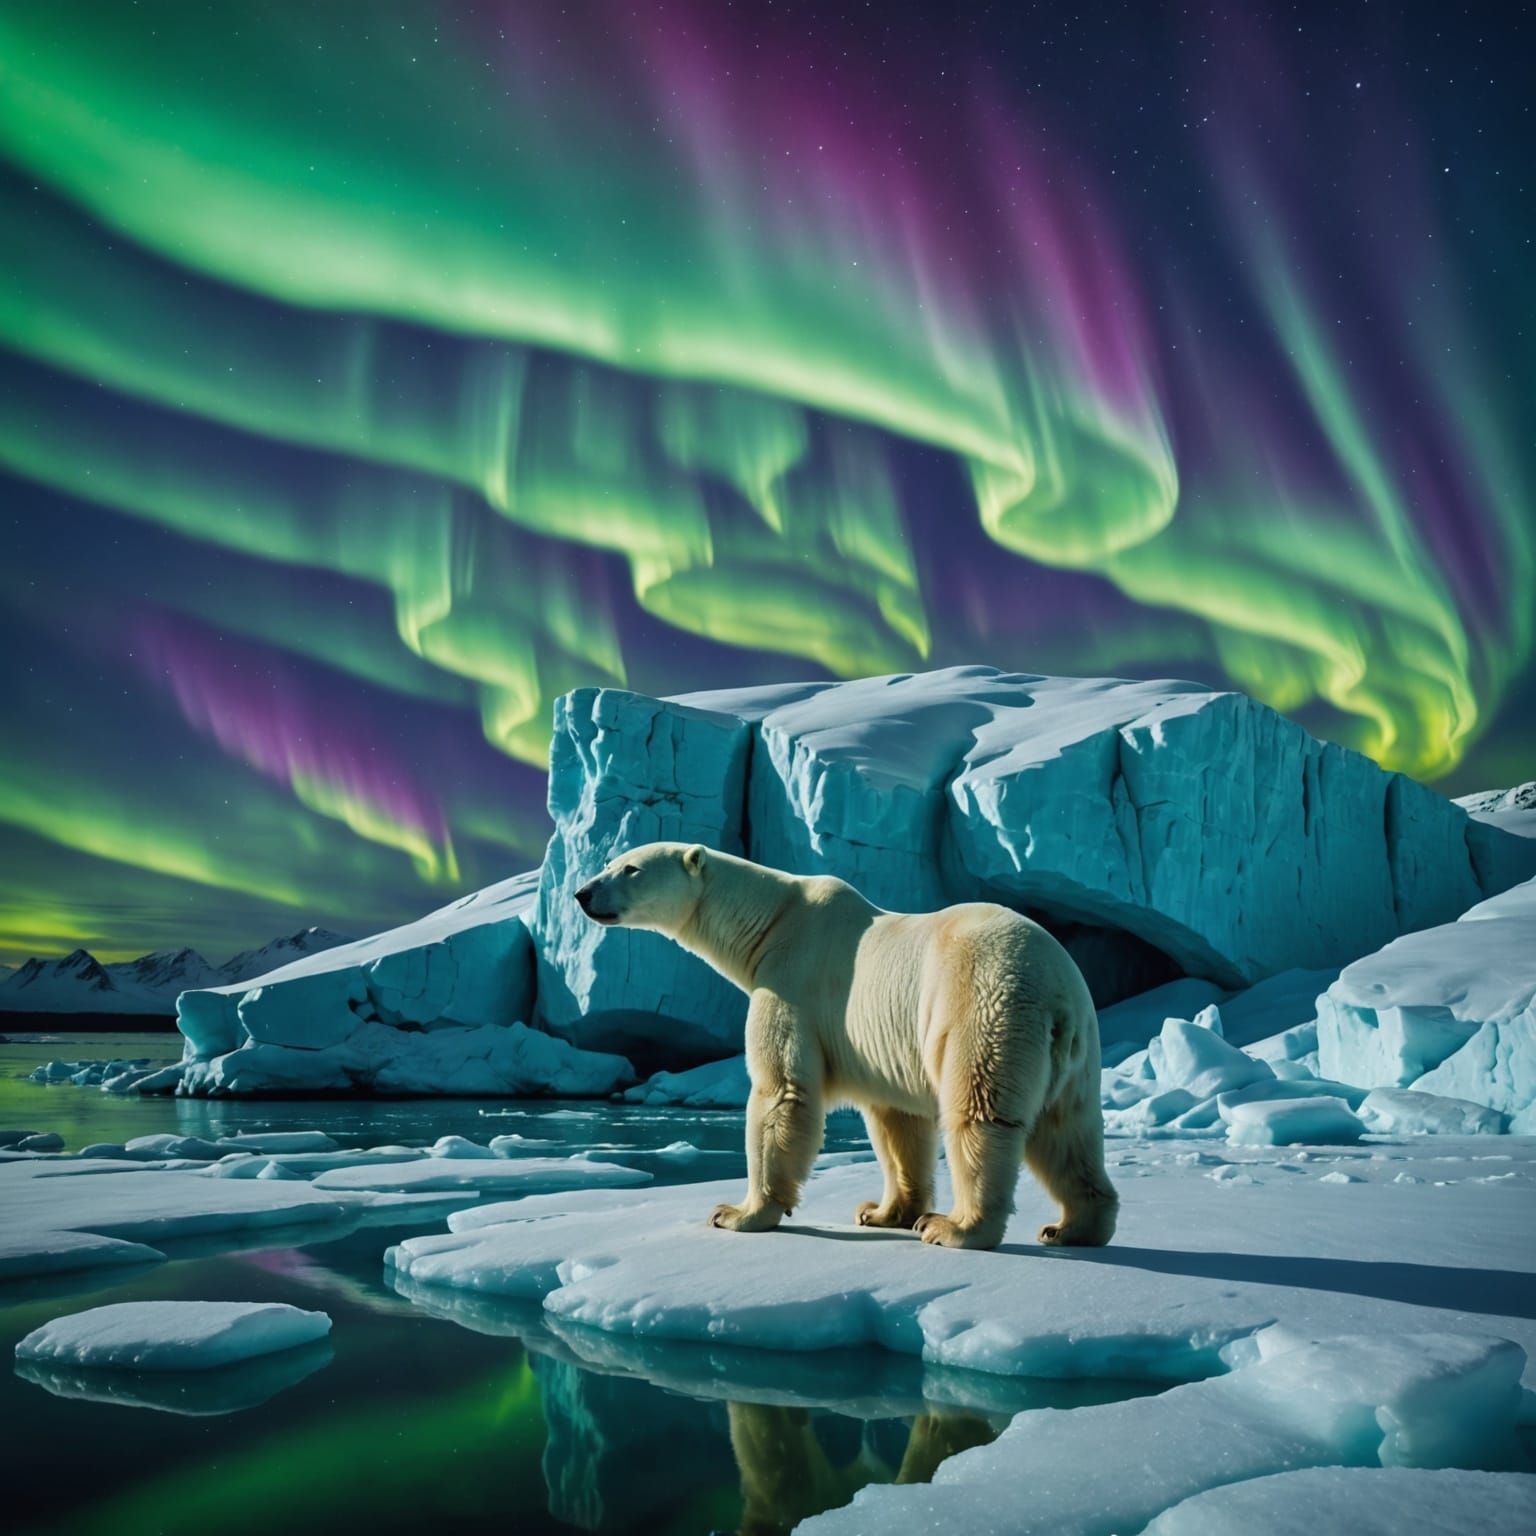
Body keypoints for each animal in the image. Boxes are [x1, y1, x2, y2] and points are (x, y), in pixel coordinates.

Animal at [574, 842, 1118, 1251]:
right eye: (609, 861)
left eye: (629, 868)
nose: (582, 892)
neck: (772, 921)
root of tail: (1056, 992)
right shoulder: (881, 1045)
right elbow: (896, 1121)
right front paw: (882, 1212)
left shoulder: (792, 983)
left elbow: (781, 1090)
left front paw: (738, 1212)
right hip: (1078, 1049)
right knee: (1068, 1130)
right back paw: (1074, 1226)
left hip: (981, 1007)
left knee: (979, 1113)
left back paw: (955, 1227)